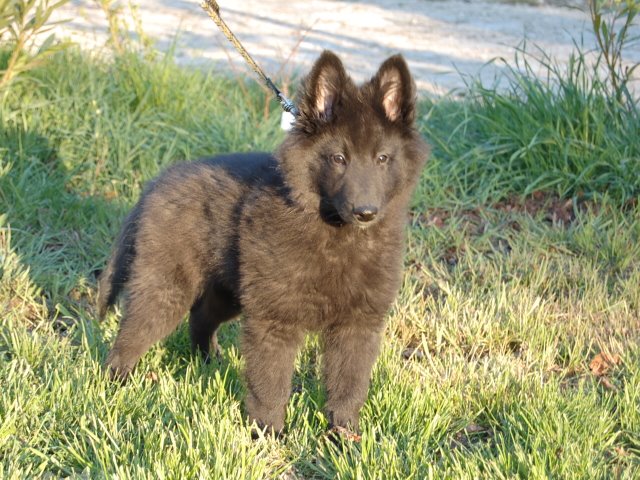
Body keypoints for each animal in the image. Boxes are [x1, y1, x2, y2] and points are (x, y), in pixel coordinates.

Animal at [99, 51, 430, 436]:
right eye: (338, 158)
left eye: (382, 158)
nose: (365, 212)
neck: (335, 235)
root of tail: (155, 183)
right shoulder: (274, 320)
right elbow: (270, 385)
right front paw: (267, 434)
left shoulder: (357, 324)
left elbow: (349, 385)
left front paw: (344, 436)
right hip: (167, 288)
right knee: (131, 335)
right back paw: (114, 383)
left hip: (229, 291)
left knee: (201, 316)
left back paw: (207, 361)